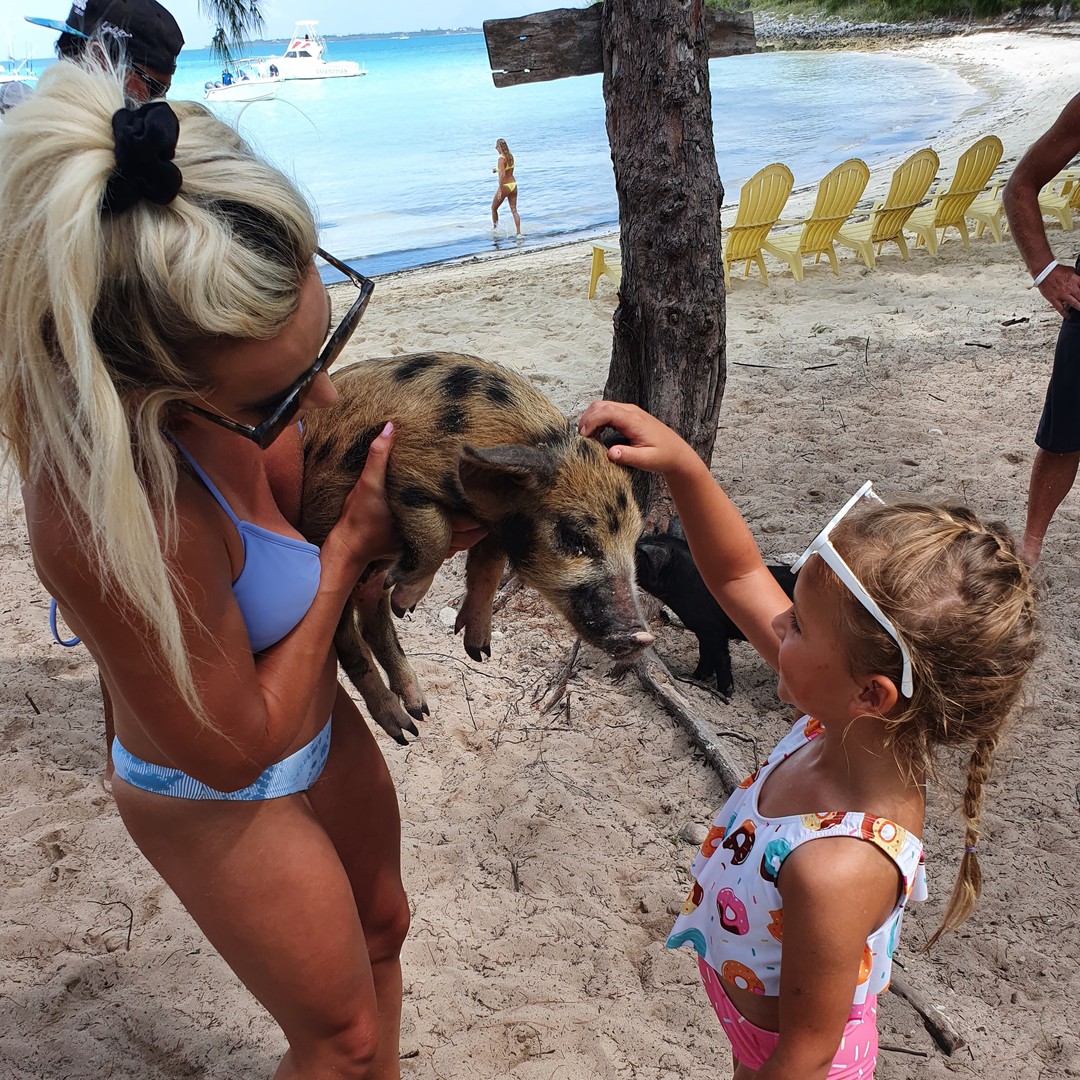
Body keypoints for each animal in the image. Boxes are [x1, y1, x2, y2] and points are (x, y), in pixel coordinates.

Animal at [300, 352, 653, 743]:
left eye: (635, 538)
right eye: (574, 536)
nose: (643, 635)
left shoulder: (493, 525)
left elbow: (488, 568)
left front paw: (478, 651)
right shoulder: (404, 474)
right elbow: (435, 533)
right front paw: (407, 604)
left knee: (372, 622)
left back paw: (419, 711)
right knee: (347, 640)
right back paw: (405, 730)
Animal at [634, 532, 796, 700]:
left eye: (636, 556)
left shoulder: (713, 628)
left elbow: (719, 657)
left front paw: (724, 693)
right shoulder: (703, 631)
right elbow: (705, 652)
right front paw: (695, 677)